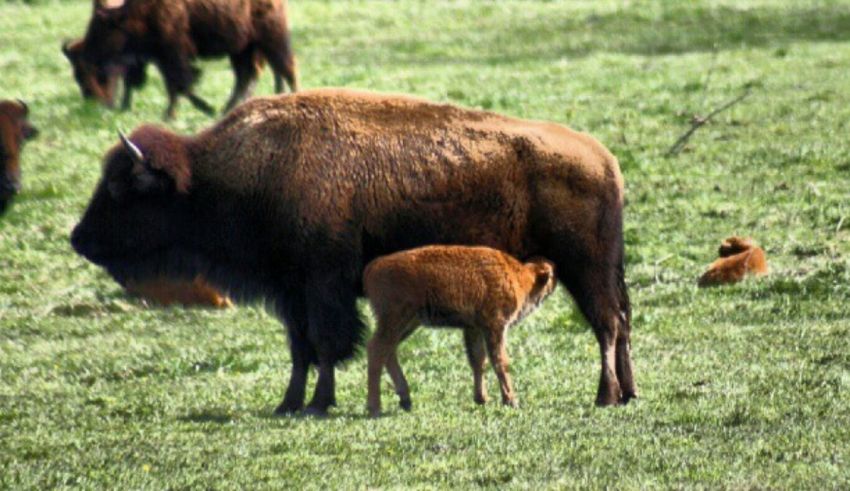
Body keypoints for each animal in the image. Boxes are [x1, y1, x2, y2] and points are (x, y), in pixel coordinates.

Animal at [73, 0, 298, 118]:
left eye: (102, 26)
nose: (89, 54)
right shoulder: (163, 57)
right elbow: (178, 85)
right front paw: (203, 109)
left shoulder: (174, 53)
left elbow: (179, 83)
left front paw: (172, 114)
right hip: (242, 49)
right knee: (246, 76)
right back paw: (228, 110)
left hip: (270, 40)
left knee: (287, 68)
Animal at [362, 244, 556, 418]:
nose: (554, 275)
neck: (520, 276)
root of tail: (373, 267)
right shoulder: (495, 326)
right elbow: (500, 361)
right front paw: (511, 401)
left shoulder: (474, 328)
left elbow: (478, 360)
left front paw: (482, 398)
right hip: (396, 320)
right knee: (377, 349)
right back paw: (375, 408)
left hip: (408, 323)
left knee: (388, 351)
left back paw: (405, 400)